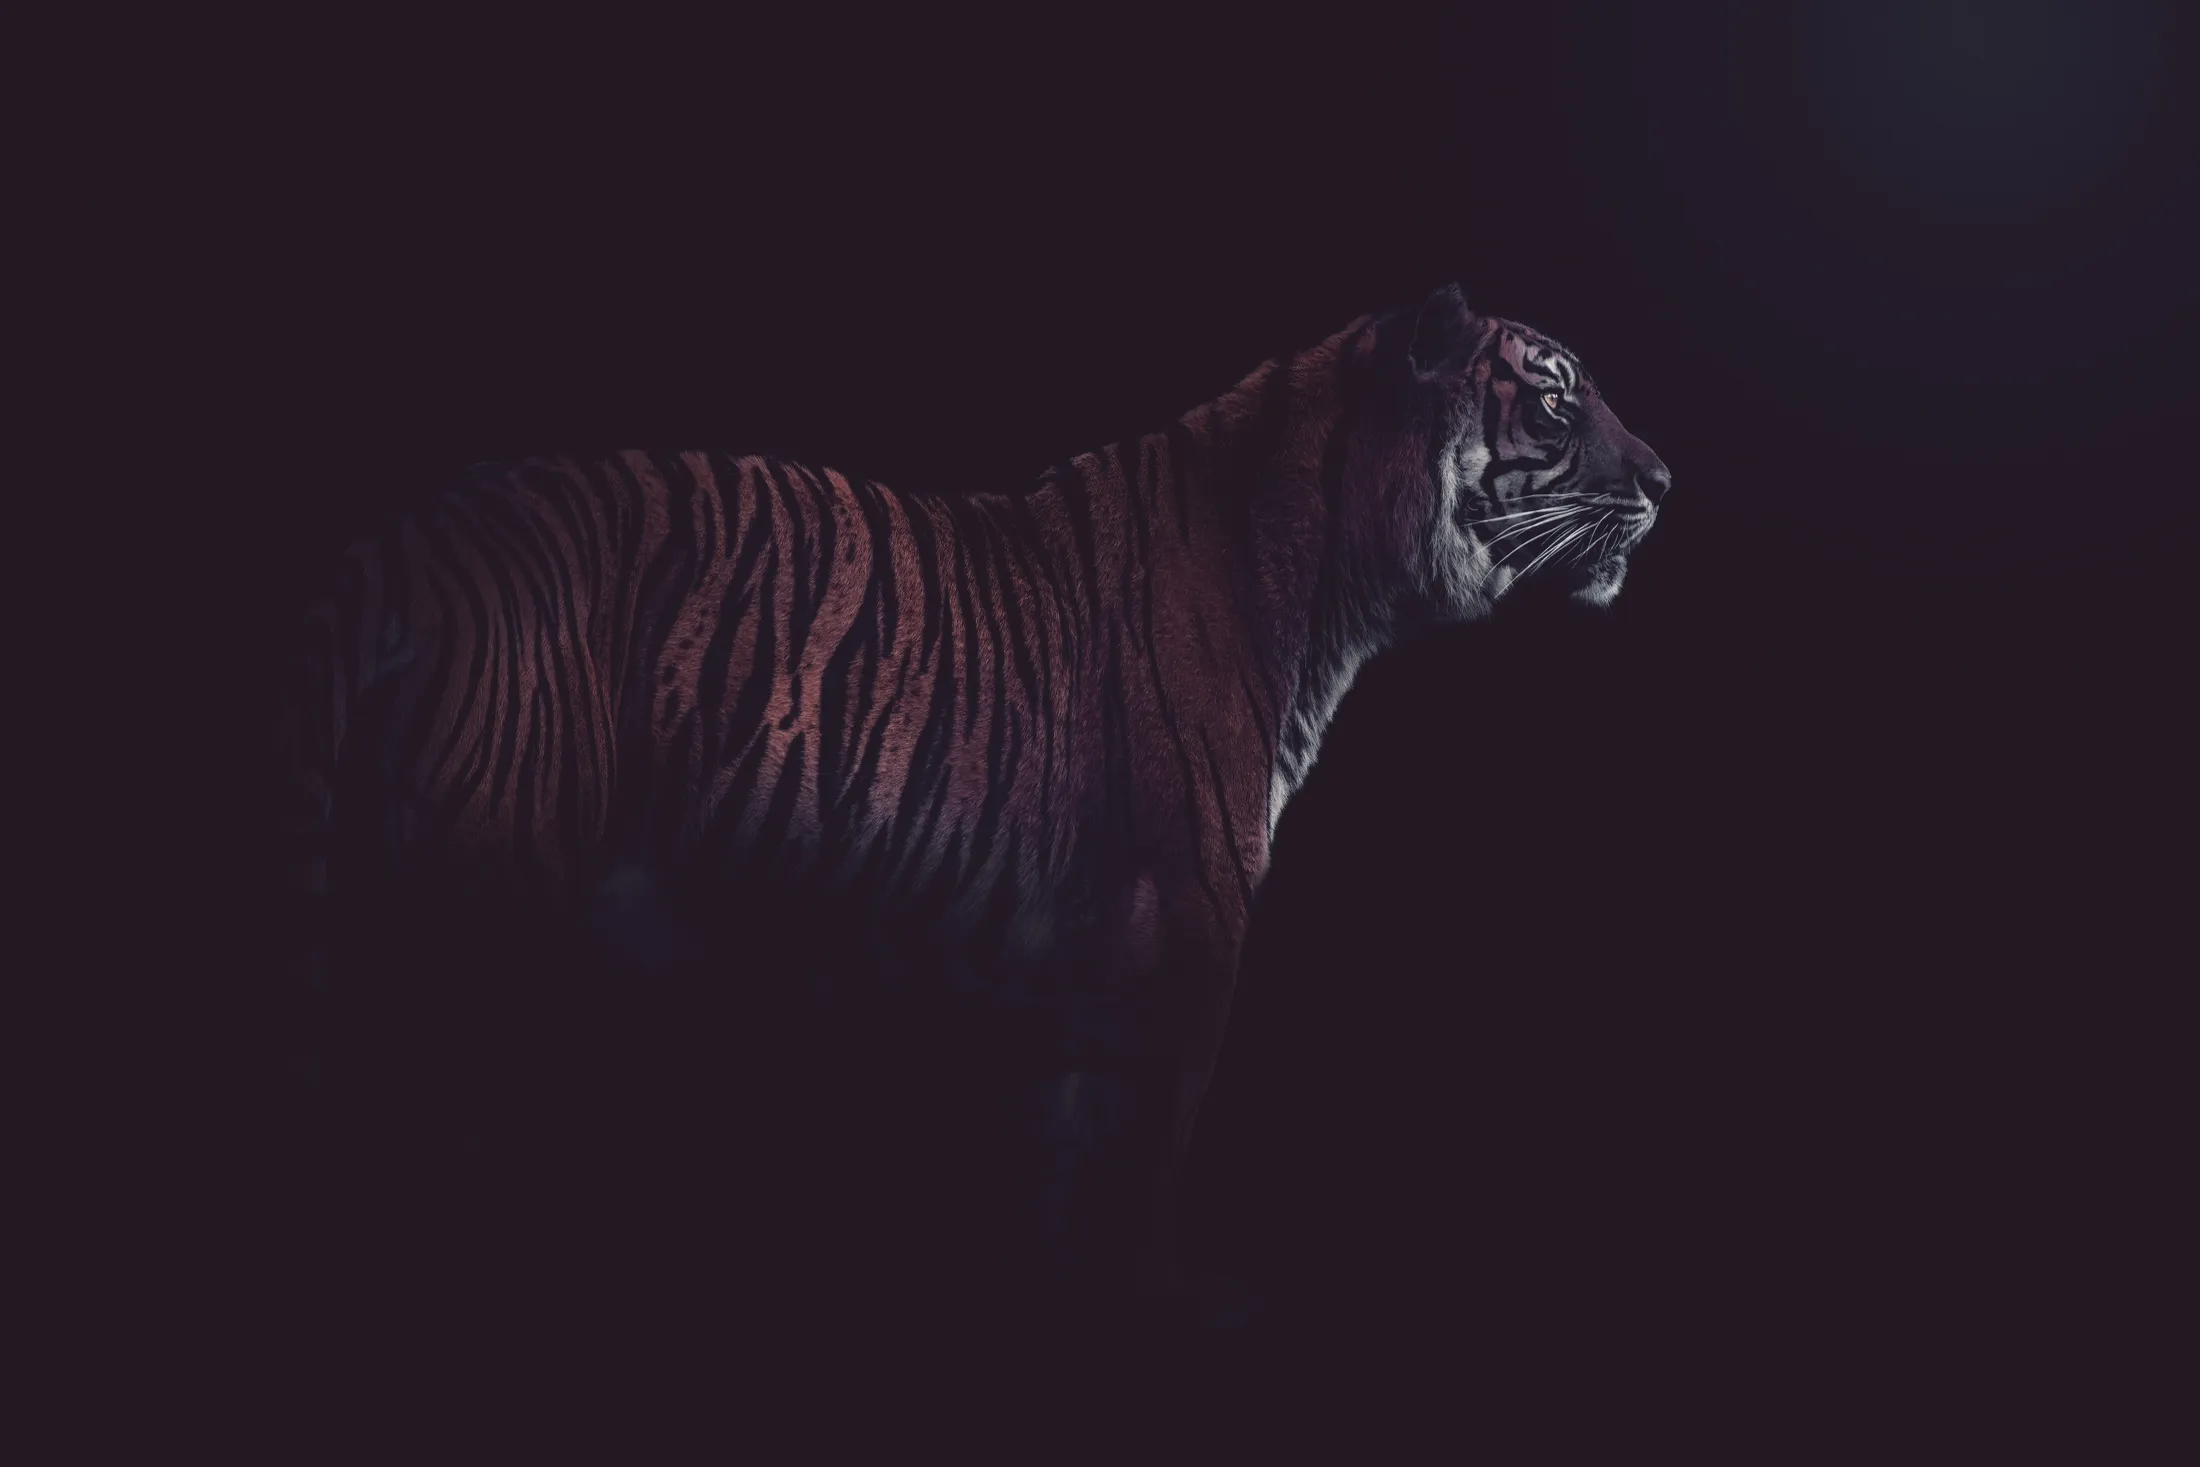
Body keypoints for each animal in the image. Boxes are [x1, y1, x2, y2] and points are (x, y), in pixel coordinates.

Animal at [272, 282, 1671, 1319]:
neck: (1334, 580)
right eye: (1556, 394)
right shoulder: (1182, 948)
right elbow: (1135, 1179)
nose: (1665, 477)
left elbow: (1054, 1185)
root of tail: (413, 539)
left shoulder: (1065, 991)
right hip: (480, 916)